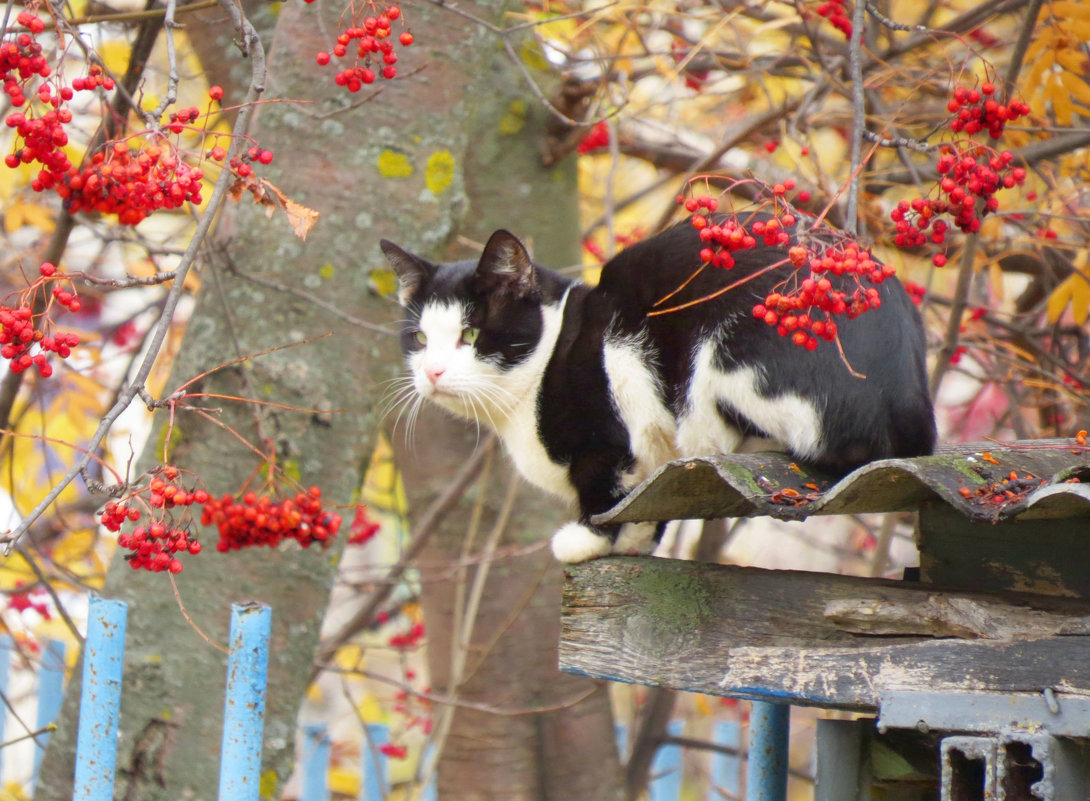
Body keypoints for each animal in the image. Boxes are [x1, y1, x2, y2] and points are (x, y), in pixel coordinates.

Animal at [379, 215, 933, 562]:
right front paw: (637, 538)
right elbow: (652, 497)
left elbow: (602, 486)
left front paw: (588, 540)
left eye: (471, 335)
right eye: (420, 339)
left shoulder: (607, 425)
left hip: (728, 352)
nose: (432, 372)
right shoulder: (650, 456)